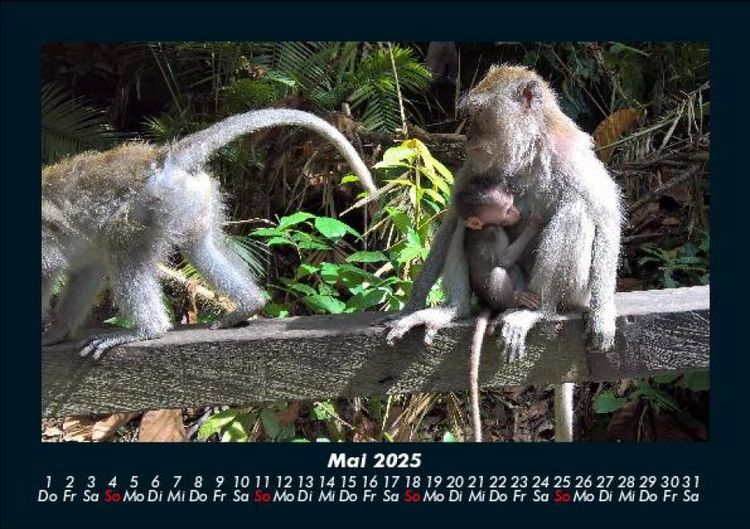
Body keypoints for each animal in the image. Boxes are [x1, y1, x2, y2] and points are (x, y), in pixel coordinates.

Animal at [42, 108, 379, 359]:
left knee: (123, 246)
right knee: (197, 247)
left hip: (153, 202)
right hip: (190, 199)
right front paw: (57, 332)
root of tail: (163, 157)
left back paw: (148, 330)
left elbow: (49, 270)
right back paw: (249, 304)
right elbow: (83, 270)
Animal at [454, 176, 541, 442]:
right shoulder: (492, 231)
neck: (482, 227)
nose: (516, 212)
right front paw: (534, 224)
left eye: (512, 204)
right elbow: (502, 261)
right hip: (495, 296)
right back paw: (515, 302)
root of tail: (487, 303)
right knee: (501, 271)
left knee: (512, 270)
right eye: (506, 208)